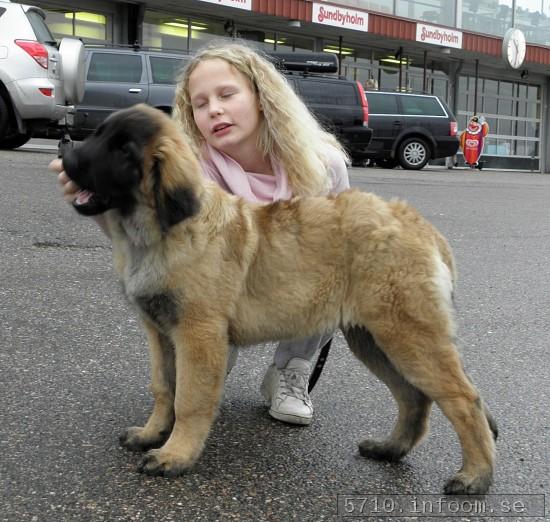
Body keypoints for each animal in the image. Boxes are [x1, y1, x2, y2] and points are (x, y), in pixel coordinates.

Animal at [62, 102, 498, 492]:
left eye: (124, 150)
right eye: (99, 133)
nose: (65, 153)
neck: (158, 230)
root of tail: (418, 225)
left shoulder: (197, 335)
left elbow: (188, 399)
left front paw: (176, 455)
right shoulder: (159, 332)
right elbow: (163, 387)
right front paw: (152, 434)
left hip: (407, 335)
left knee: (464, 399)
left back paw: (474, 476)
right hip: (373, 339)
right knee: (414, 398)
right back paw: (390, 449)